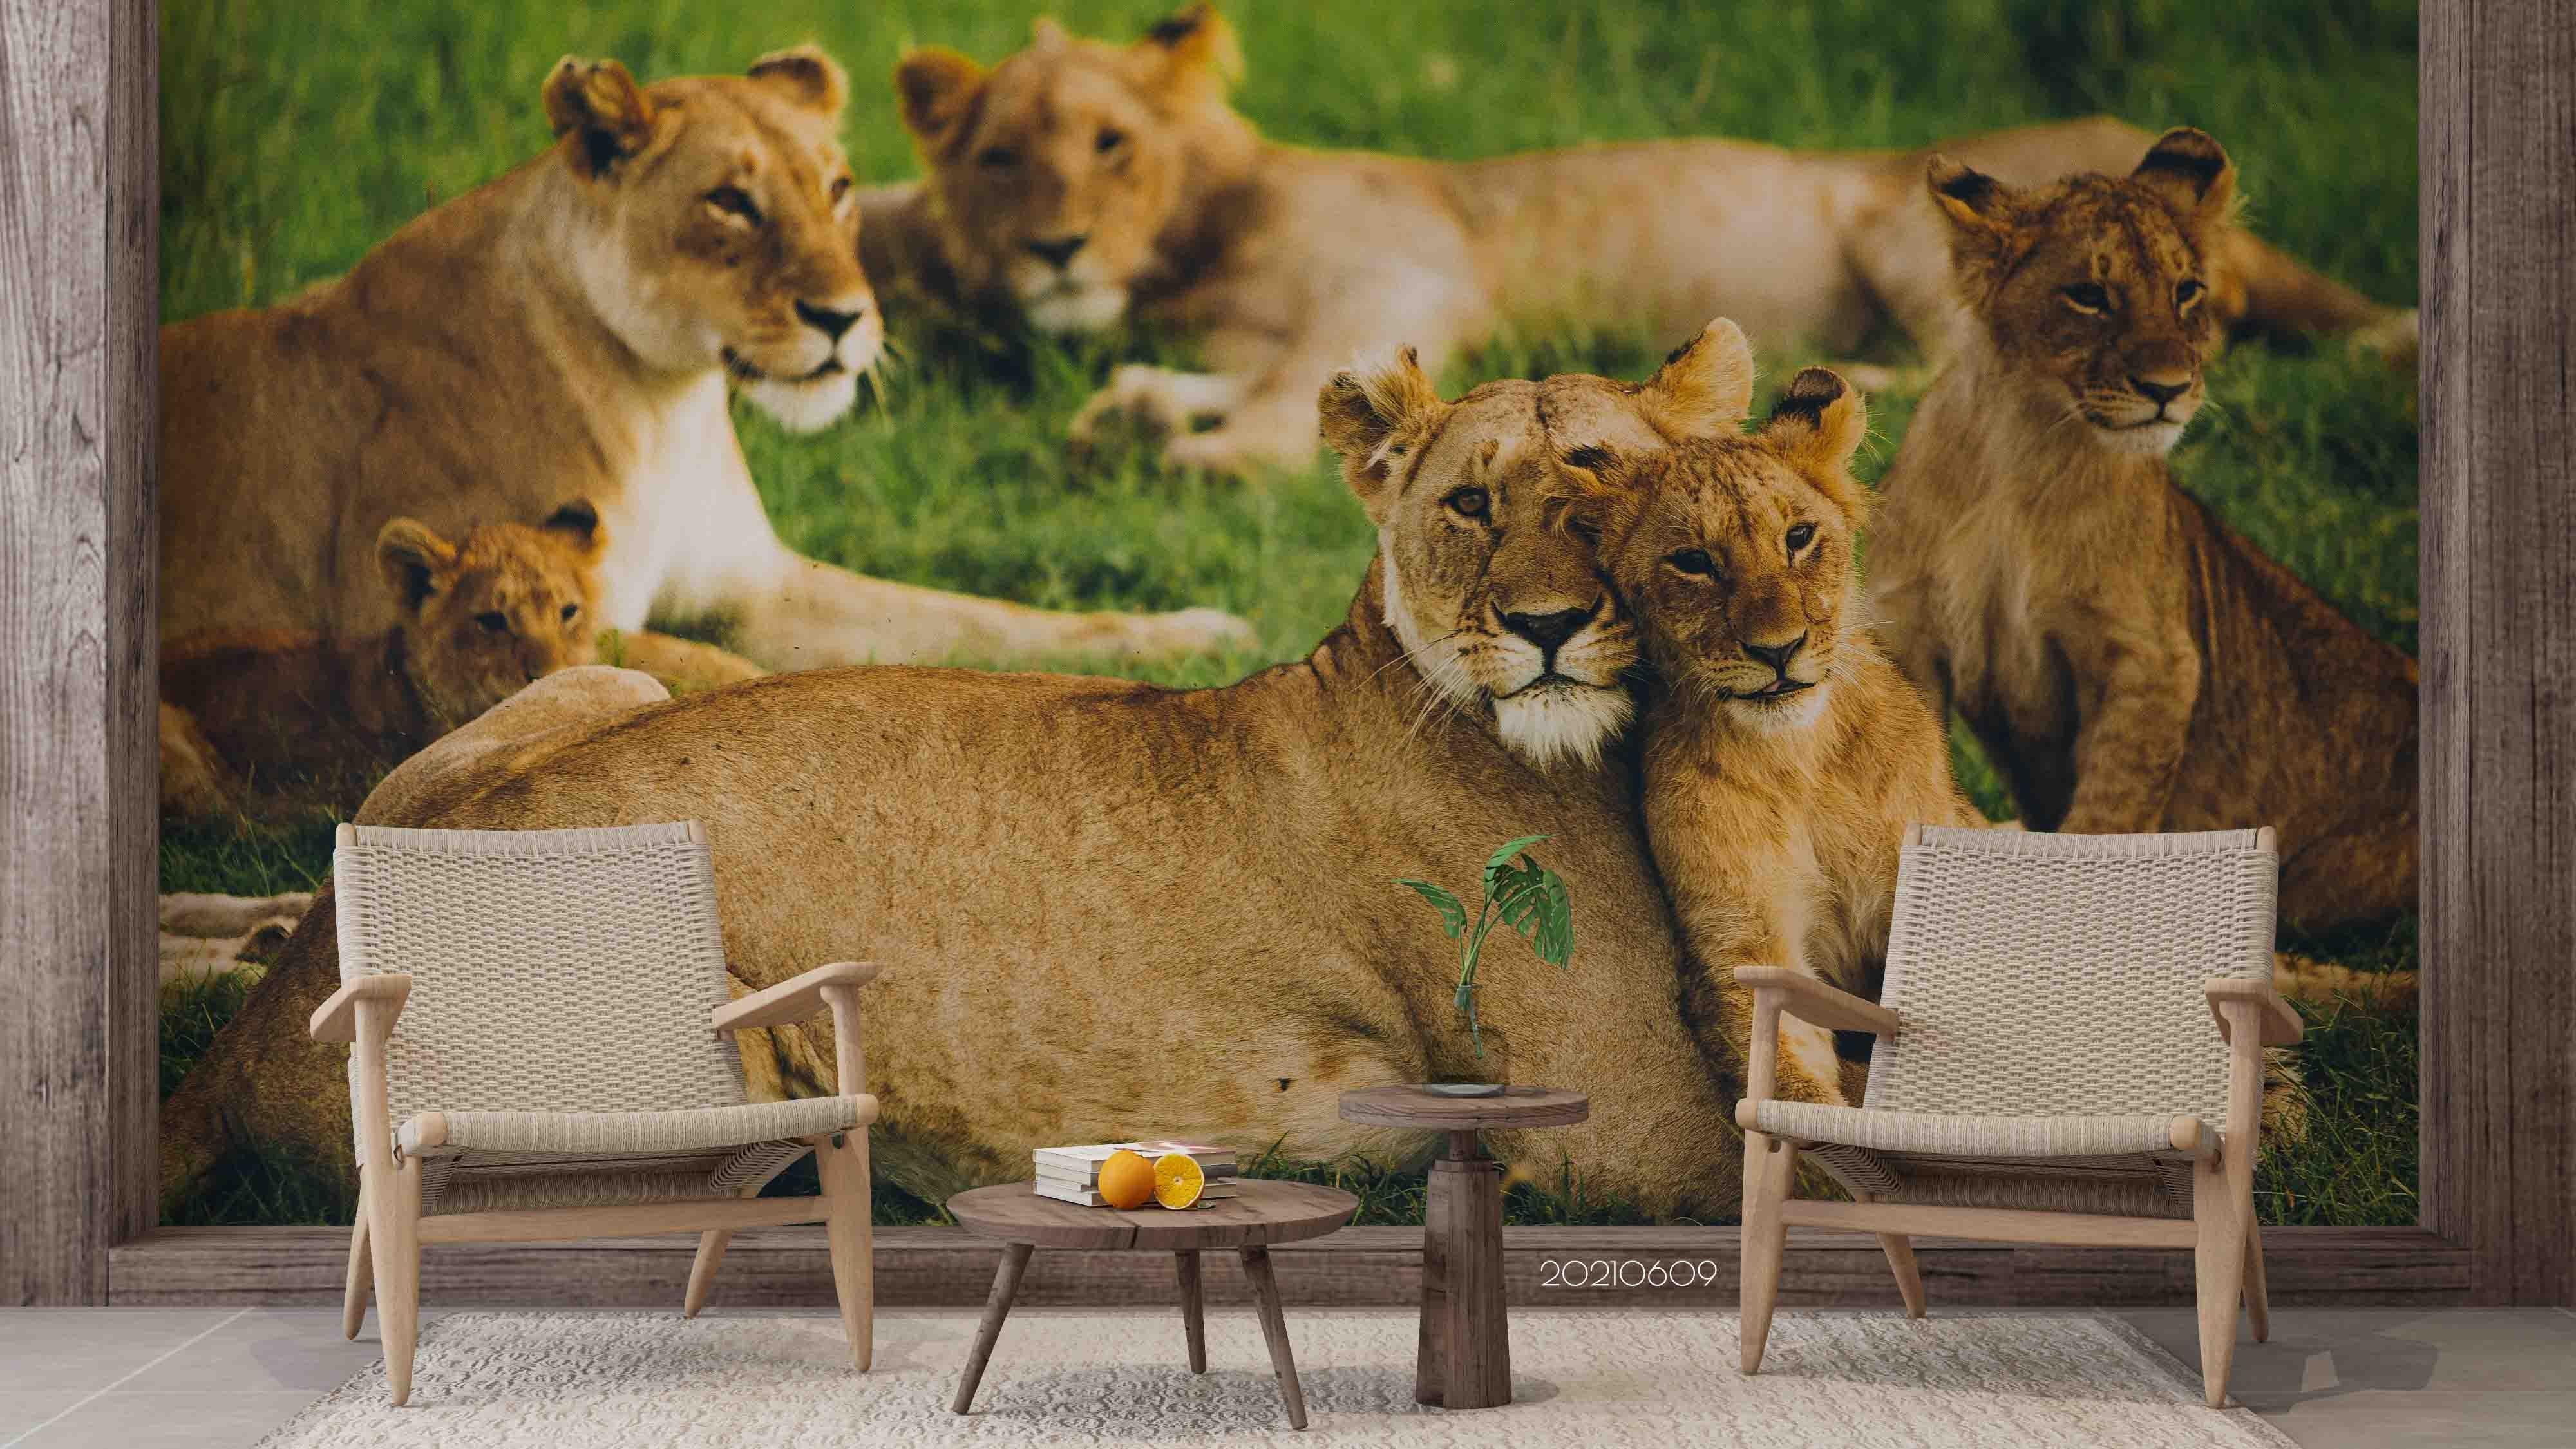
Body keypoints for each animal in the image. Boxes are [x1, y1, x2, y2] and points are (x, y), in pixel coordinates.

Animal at [159, 46, 1252, 678]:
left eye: (839, 188)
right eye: (731, 201)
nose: (845, 319)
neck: (664, 404)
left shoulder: (758, 587)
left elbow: (988, 618)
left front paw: (1196, 634)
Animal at [159, 324, 1776, 1220]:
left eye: (1613, 491)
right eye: (1470, 505)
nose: (1547, 626)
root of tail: (242, 1044)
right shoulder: (1620, 1131)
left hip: (602, 679)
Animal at [864, 4, 2417, 476]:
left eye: (1110, 145)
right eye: (999, 159)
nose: (1056, 250)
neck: (1189, 252)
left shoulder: (1400, 275)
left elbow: (1287, 403)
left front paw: (1191, 453)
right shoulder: (1274, 328)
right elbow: (1250, 381)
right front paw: (1133, 409)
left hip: (1906, 224)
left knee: (1969, 369)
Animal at [1572, 337, 1981, 1109]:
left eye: (1799, 537)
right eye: (1693, 562)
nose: (1777, 650)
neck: (1799, 759)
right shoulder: (1741, 946)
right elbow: (1792, 1088)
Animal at [1864, 128, 2419, 930]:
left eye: (2186, 291)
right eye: (2089, 295)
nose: (2168, 389)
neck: (2020, 448)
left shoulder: (2153, 658)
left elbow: (2107, 817)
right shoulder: (1907, 633)